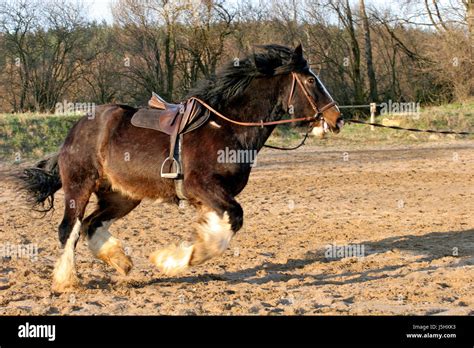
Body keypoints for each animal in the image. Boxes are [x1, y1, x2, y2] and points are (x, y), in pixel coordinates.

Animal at [19, 44, 344, 292]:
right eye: (311, 81)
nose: (337, 118)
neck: (227, 127)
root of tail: (75, 129)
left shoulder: (211, 197)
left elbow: (220, 227)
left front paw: (178, 255)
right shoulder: (202, 187)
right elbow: (233, 220)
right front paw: (174, 260)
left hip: (122, 196)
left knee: (91, 224)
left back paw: (120, 260)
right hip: (80, 186)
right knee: (69, 228)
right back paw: (66, 281)